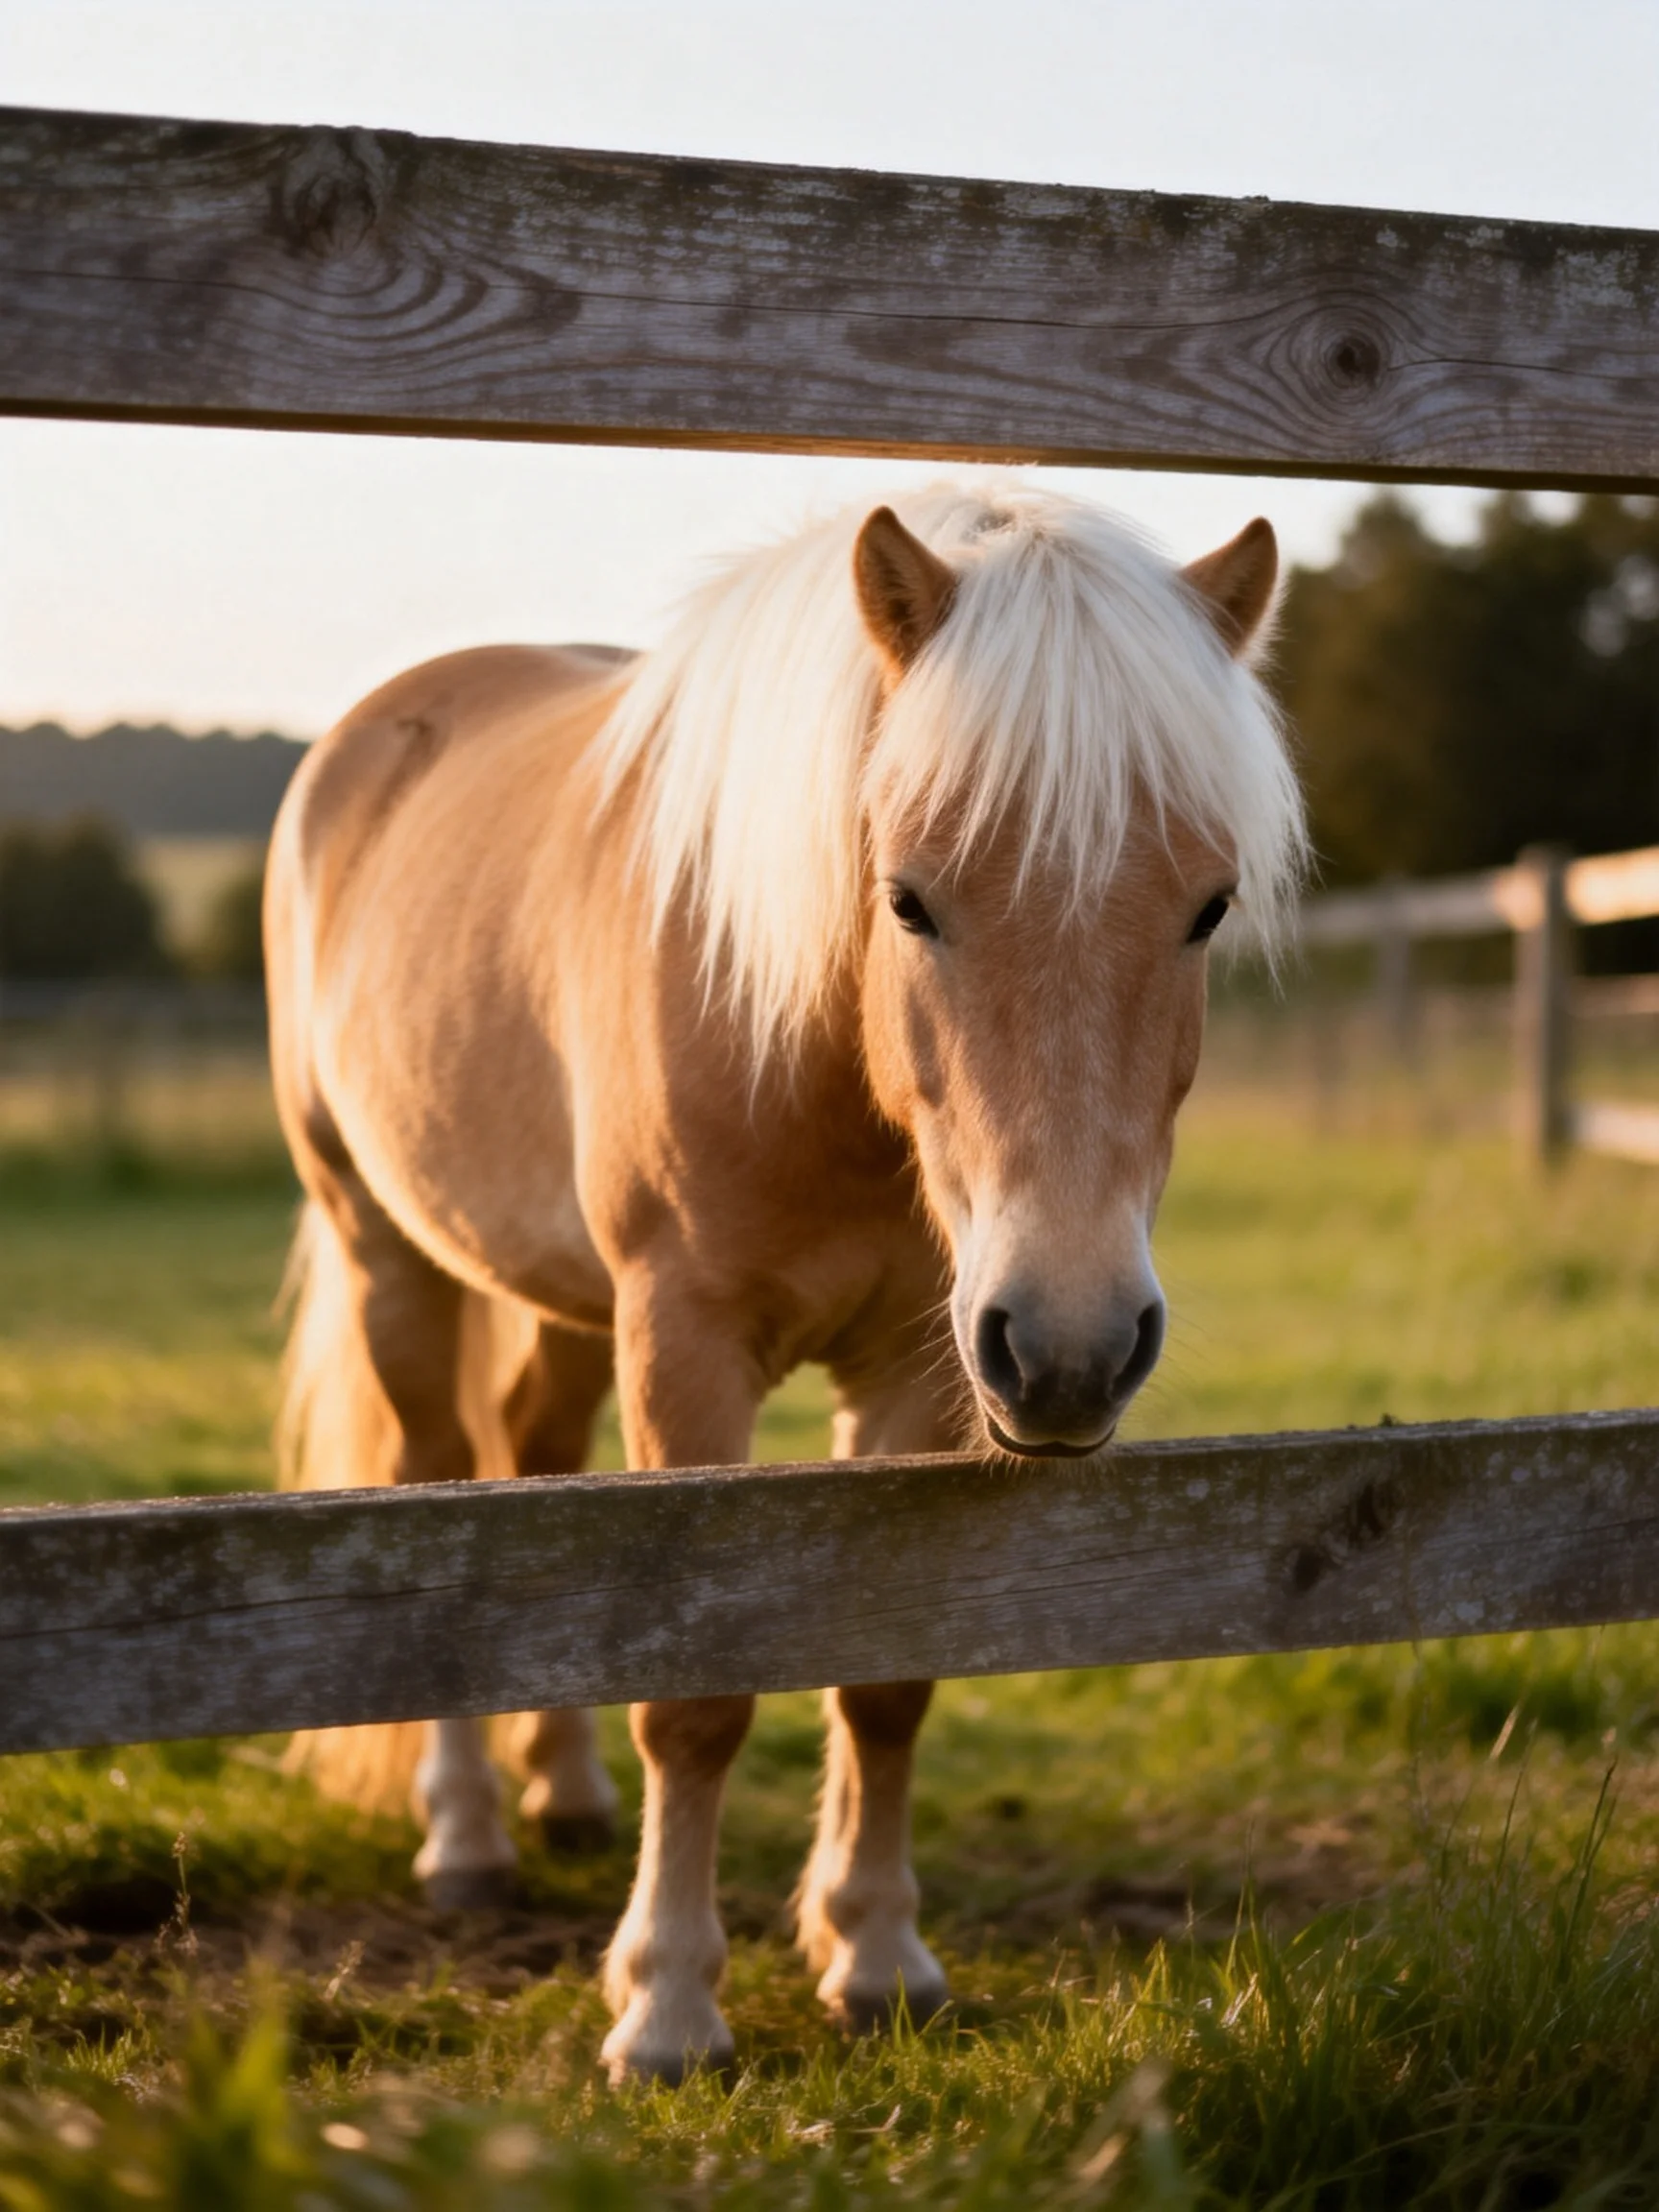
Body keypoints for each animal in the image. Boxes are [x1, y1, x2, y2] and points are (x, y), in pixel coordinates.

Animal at [264, 481, 1304, 2085]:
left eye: (1207, 905)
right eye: (910, 900)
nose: (1076, 1347)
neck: (811, 1051)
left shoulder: (929, 1367)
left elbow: (881, 1677)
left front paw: (872, 1956)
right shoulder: (688, 1349)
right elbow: (697, 1693)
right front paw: (668, 2010)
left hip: (573, 1306)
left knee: (534, 1473)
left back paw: (564, 1794)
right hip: (390, 1254)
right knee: (434, 1486)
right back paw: (468, 1837)